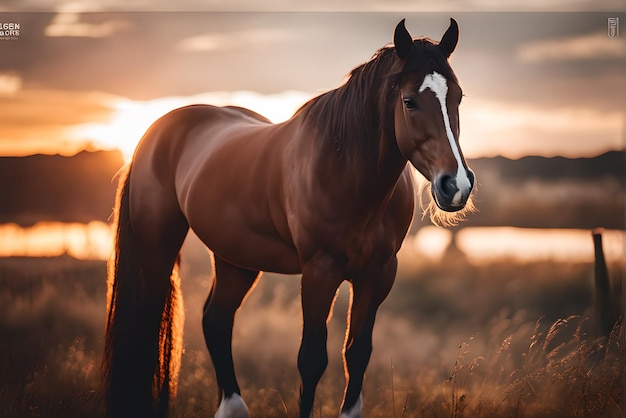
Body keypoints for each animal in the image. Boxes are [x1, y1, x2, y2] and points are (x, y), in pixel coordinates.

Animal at [102, 17, 472, 418]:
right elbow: (311, 359)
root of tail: (154, 133)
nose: (456, 184)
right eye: (409, 101)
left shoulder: (378, 273)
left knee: (216, 320)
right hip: (159, 248)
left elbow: (357, 353)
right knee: (148, 325)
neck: (346, 171)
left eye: (458, 97)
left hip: (237, 260)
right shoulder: (319, 272)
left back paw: (232, 407)